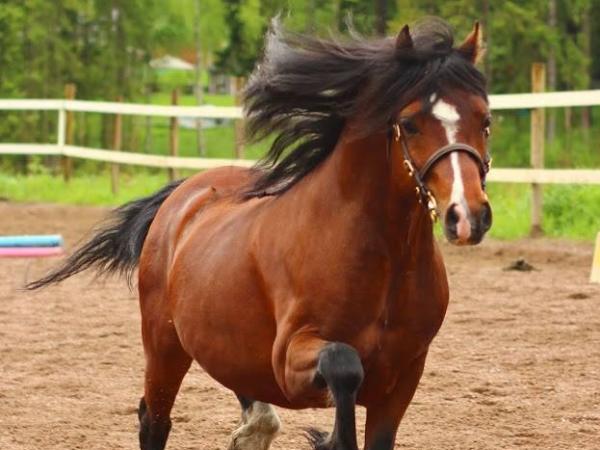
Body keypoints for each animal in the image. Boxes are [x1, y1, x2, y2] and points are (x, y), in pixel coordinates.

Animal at [29, 18, 492, 450]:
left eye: (485, 120)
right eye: (410, 123)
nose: (467, 215)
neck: (383, 260)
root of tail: (182, 195)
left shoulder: (402, 379)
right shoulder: (290, 359)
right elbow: (344, 366)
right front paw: (331, 436)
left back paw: (255, 428)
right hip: (163, 345)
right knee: (153, 420)